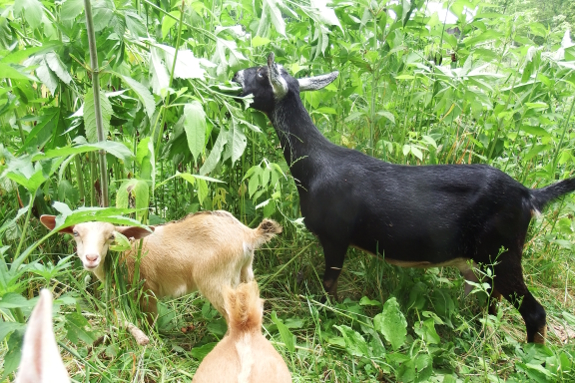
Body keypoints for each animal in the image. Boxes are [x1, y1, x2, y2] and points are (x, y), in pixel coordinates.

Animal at [39, 212, 282, 322]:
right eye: (75, 233)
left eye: (111, 236)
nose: (91, 258)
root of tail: (247, 234)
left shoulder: (146, 289)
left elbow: (151, 319)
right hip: (245, 274)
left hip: (215, 281)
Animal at [233, 52, 575, 344]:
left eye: (261, 73)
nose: (235, 74)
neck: (315, 163)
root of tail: (529, 195)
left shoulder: (335, 235)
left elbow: (328, 285)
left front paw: (325, 316)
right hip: (482, 259)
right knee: (491, 297)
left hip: (502, 251)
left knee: (533, 311)